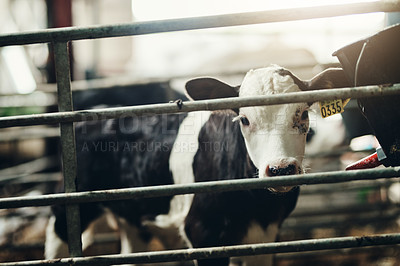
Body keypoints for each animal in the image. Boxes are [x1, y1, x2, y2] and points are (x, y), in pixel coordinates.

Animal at [44, 65, 350, 266]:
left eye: (303, 114)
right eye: (244, 119)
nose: (280, 169)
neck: (258, 207)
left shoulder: (267, 235)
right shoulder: (203, 232)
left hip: (132, 216)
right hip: (70, 207)